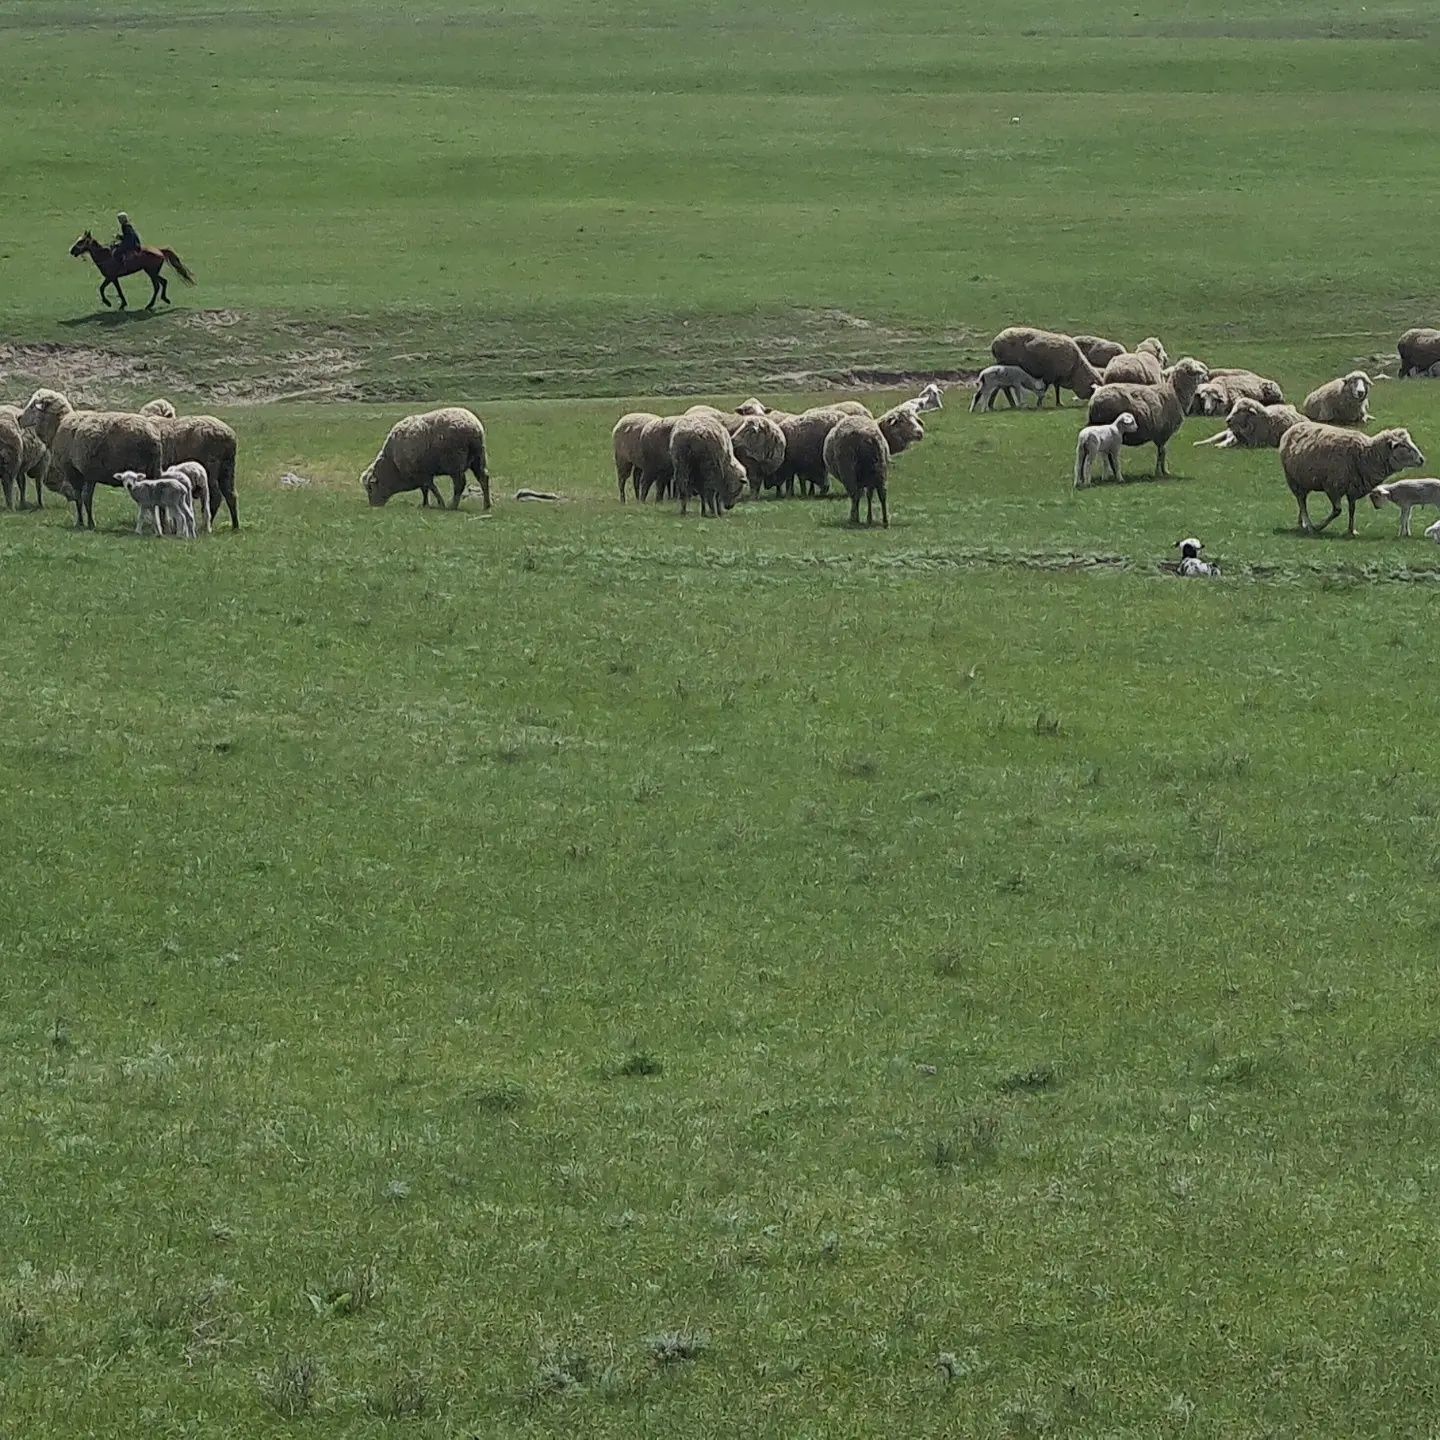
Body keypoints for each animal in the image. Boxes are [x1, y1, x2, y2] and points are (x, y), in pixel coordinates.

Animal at [16, 388, 164, 529]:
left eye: (32, 406)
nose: (18, 418)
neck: (58, 424)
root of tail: (152, 436)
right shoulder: (89, 474)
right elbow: (87, 499)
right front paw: (90, 523)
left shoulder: (72, 471)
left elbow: (79, 498)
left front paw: (80, 523)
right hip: (154, 470)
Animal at [360, 406, 489, 512]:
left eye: (370, 488)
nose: (374, 505)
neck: (392, 464)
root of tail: (474, 426)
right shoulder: (423, 474)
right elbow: (425, 490)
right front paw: (425, 504)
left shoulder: (422, 474)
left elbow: (431, 488)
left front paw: (440, 504)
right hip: (478, 457)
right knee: (484, 478)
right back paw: (486, 506)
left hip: (455, 462)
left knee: (460, 484)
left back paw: (453, 506)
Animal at [1278, 420, 1422, 538]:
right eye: (1403, 445)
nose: (1422, 459)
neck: (1366, 455)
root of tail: (1293, 428)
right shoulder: (1333, 487)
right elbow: (1337, 511)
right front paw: (1319, 526)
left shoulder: (1353, 489)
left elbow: (1352, 510)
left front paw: (1351, 531)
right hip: (1293, 480)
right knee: (1302, 502)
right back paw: (1309, 525)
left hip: (1304, 481)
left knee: (1302, 503)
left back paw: (1301, 523)